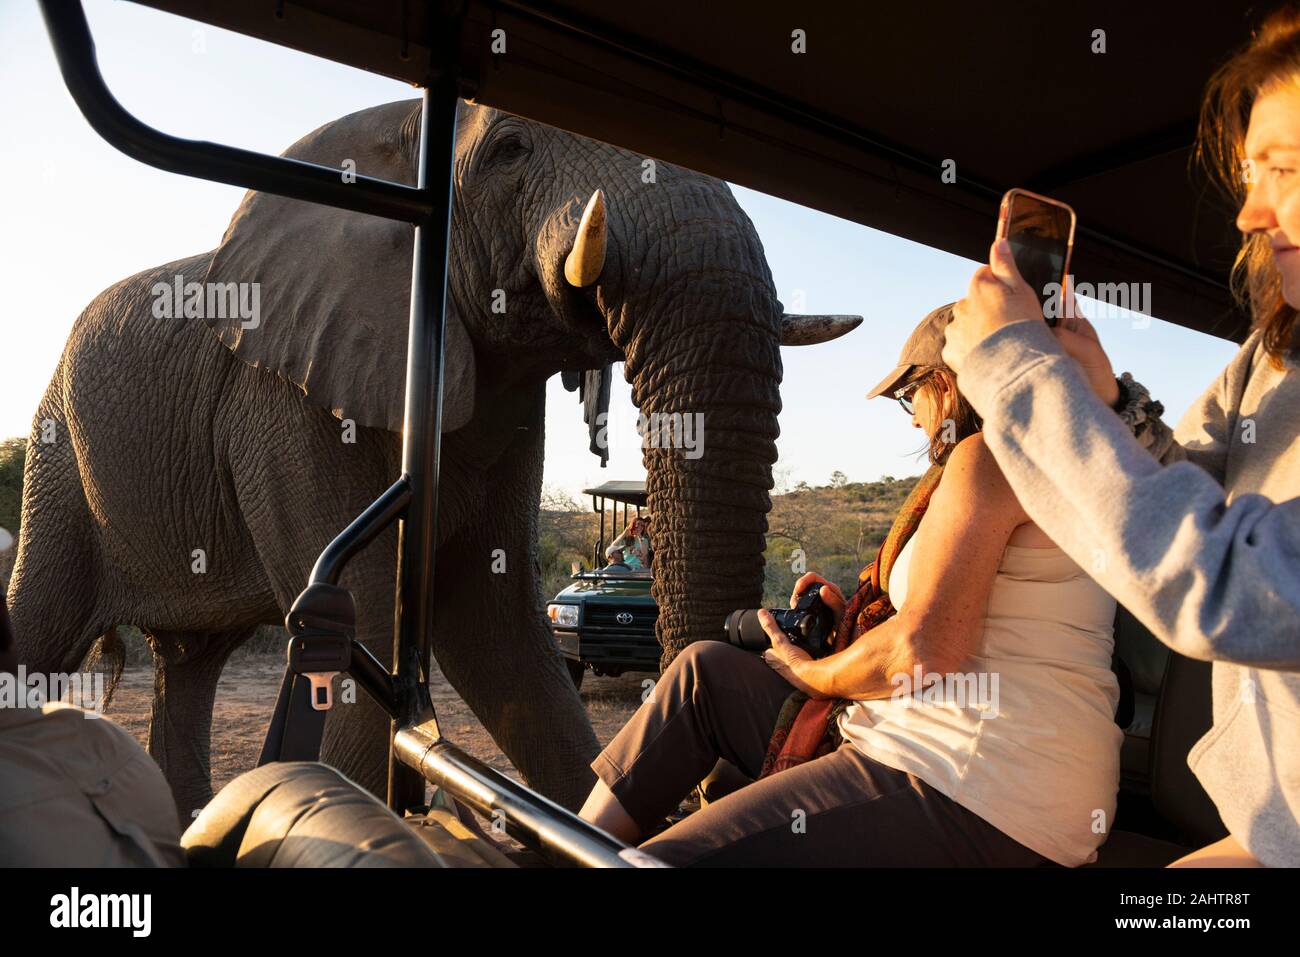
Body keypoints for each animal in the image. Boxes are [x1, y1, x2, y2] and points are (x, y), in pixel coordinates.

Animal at [5, 98, 857, 816]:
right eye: (510, 150)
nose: (719, 783)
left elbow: (497, 629)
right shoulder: (284, 400)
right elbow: (379, 622)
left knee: (188, 662)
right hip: (58, 458)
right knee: (40, 633)